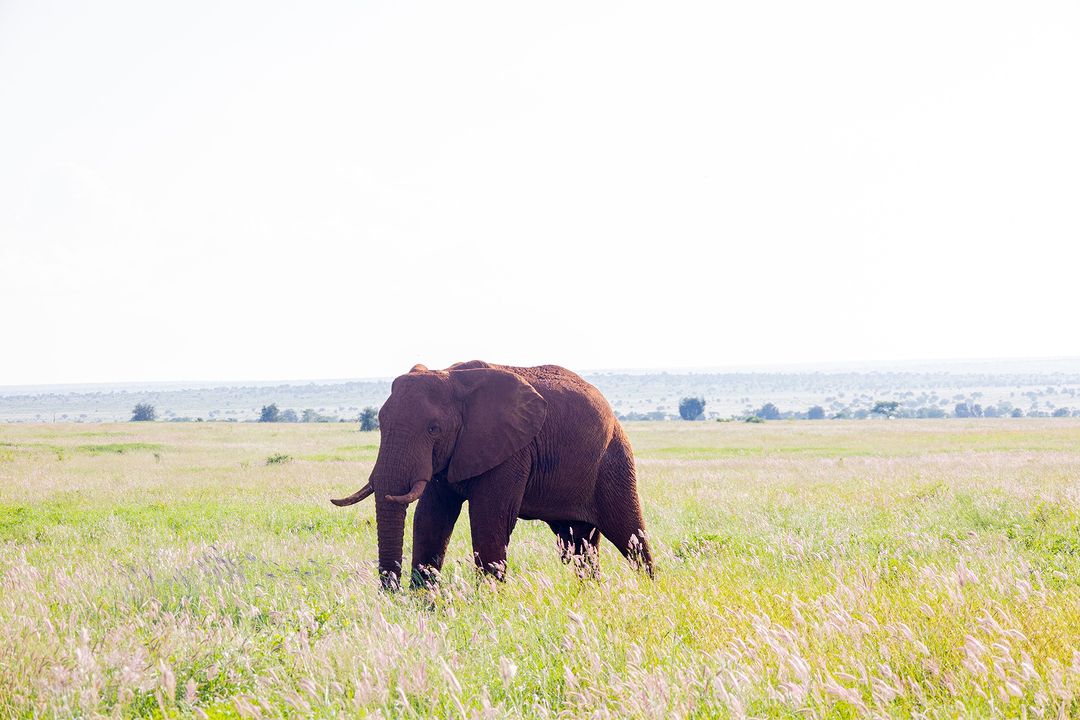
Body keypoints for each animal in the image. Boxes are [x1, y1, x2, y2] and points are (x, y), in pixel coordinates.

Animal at [331, 360, 653, 589]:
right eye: (380, 423)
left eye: (433, 429)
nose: (391, 593)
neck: (452, 377)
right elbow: (431, 518)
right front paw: (423, 602)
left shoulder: (511, 451)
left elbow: (489, 519)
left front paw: (488, 600)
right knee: (580, 544)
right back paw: (591, 594)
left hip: (614, 458)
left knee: (630, 536)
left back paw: (649, 590)